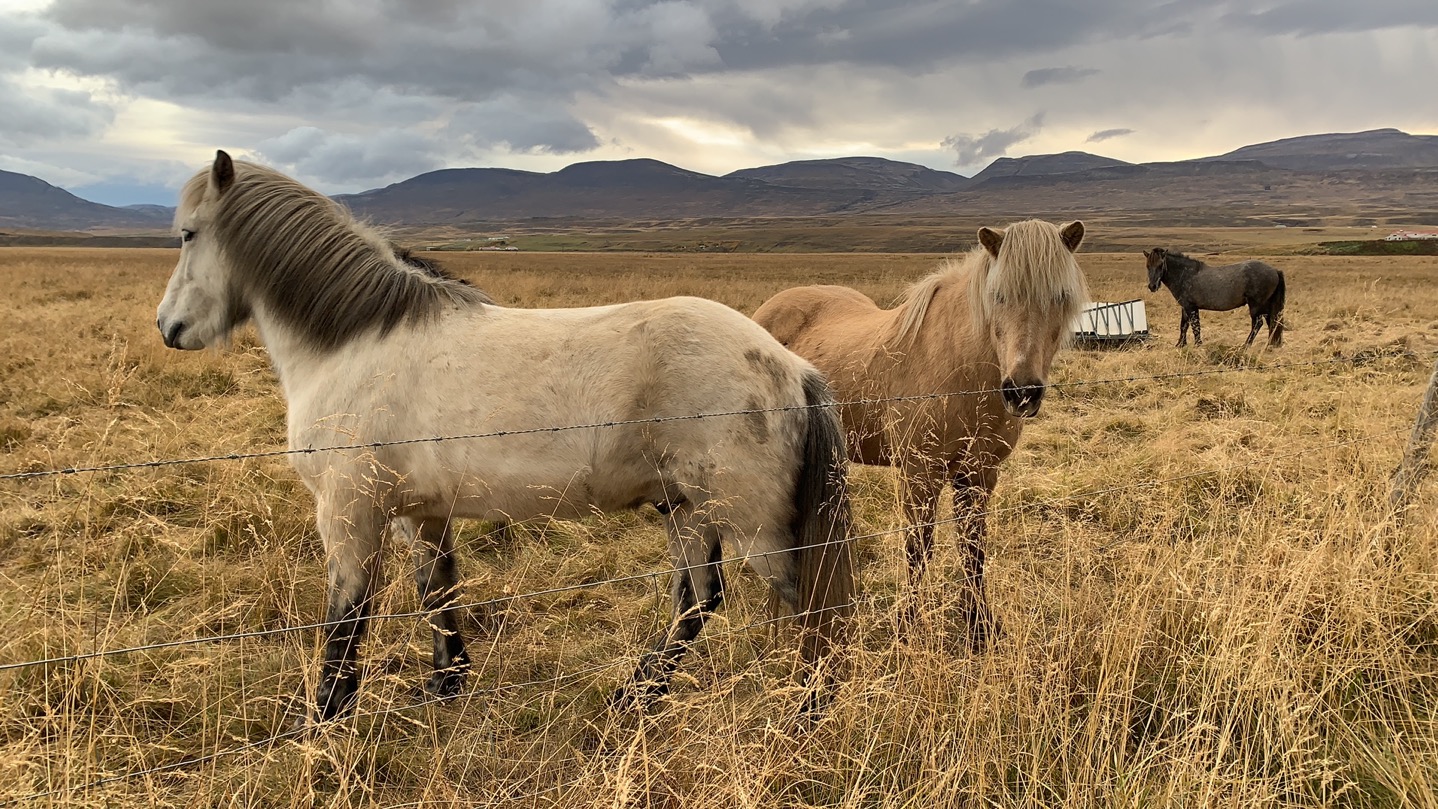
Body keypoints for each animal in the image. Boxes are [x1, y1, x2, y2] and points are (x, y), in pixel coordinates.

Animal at [154, 153, 851, 721]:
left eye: (188, 235)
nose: (169, 327)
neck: (354, 344)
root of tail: (789, 364)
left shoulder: (349, 514)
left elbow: (346, 619)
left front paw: (324, 718)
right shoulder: (420, 513)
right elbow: (436, 590)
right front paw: (446, 685)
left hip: (753, 524)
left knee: (807, 606)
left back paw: (807, 714)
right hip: (687, 508)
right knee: (696, 601)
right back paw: (635, 697)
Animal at [759, 221, 1081, 652]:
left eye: (1060, 296)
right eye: (998, 296)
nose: (1022, 392)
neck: (962, 371)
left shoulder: (979, 474)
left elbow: (973, 550)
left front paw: (980, 628)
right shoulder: (919, 473)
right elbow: (918, 550)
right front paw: (905, 628)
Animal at [1144, 247, 1294, 347]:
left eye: (1160, 265)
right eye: (1147, 266)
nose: (1152, 286)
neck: (1186, 274)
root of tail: (1274, 270)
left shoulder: (1191, 307)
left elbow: (1195, 326)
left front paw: (1198, 345)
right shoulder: (1185, 307)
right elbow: (1184, 325)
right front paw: (1180, 344)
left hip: (1256, 306)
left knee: (1258, 324)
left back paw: (1246, 345)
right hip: (1266, 306)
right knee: (1272, 322)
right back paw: (1270, 345)